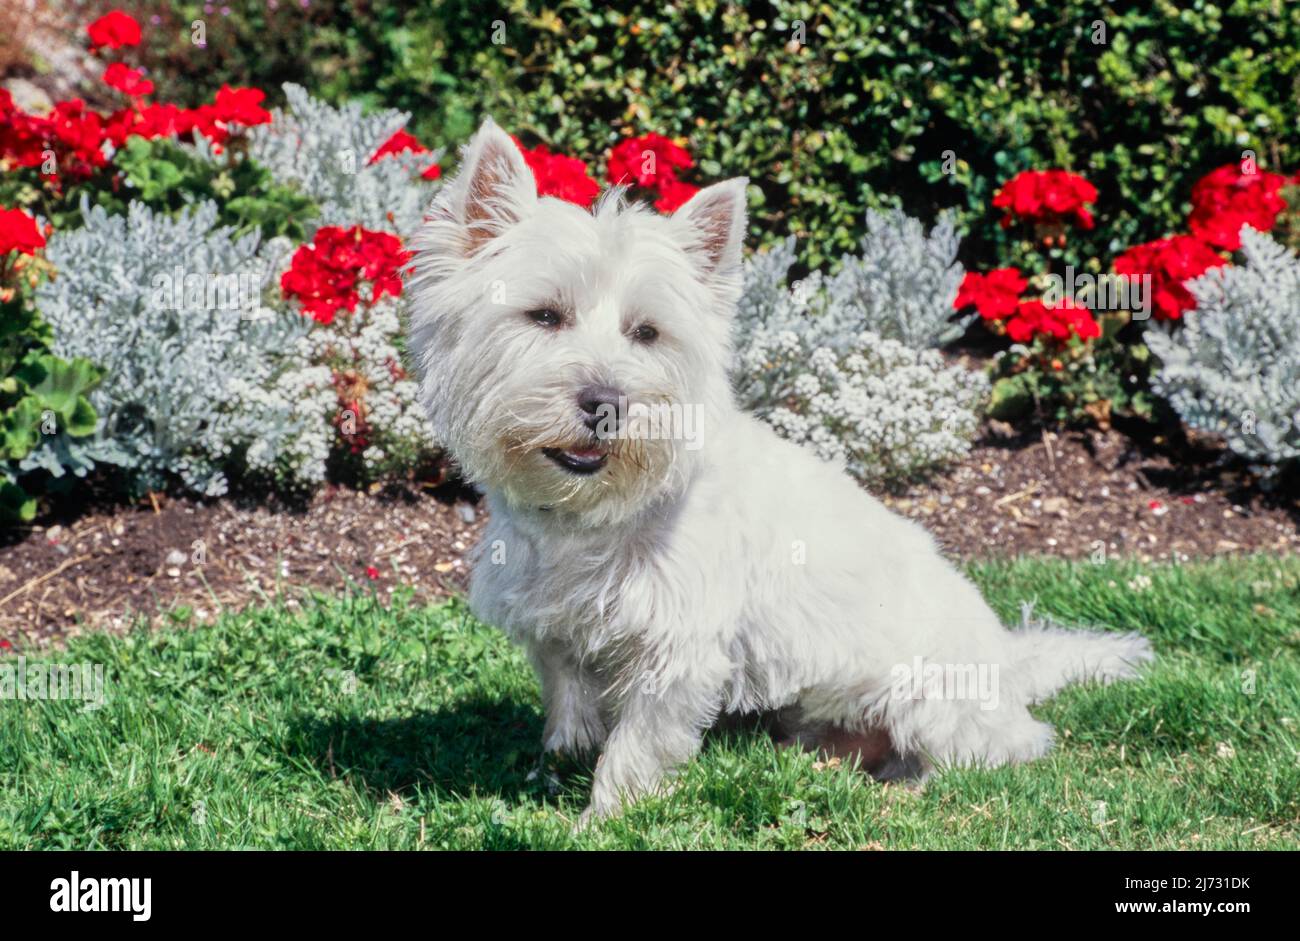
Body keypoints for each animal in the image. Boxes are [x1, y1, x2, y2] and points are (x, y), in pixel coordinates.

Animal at [403, 119, 1149, 821]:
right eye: (544, 315)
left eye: (647, 332)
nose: (606, 403)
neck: (592, 516)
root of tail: (1010, 662)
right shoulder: (552, 621)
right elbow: (567, 693)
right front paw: (562, 753)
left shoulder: (678, 647)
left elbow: (637, 745)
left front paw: (604, 815)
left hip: (934, 694)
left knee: (996, 750)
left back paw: (910, 785)